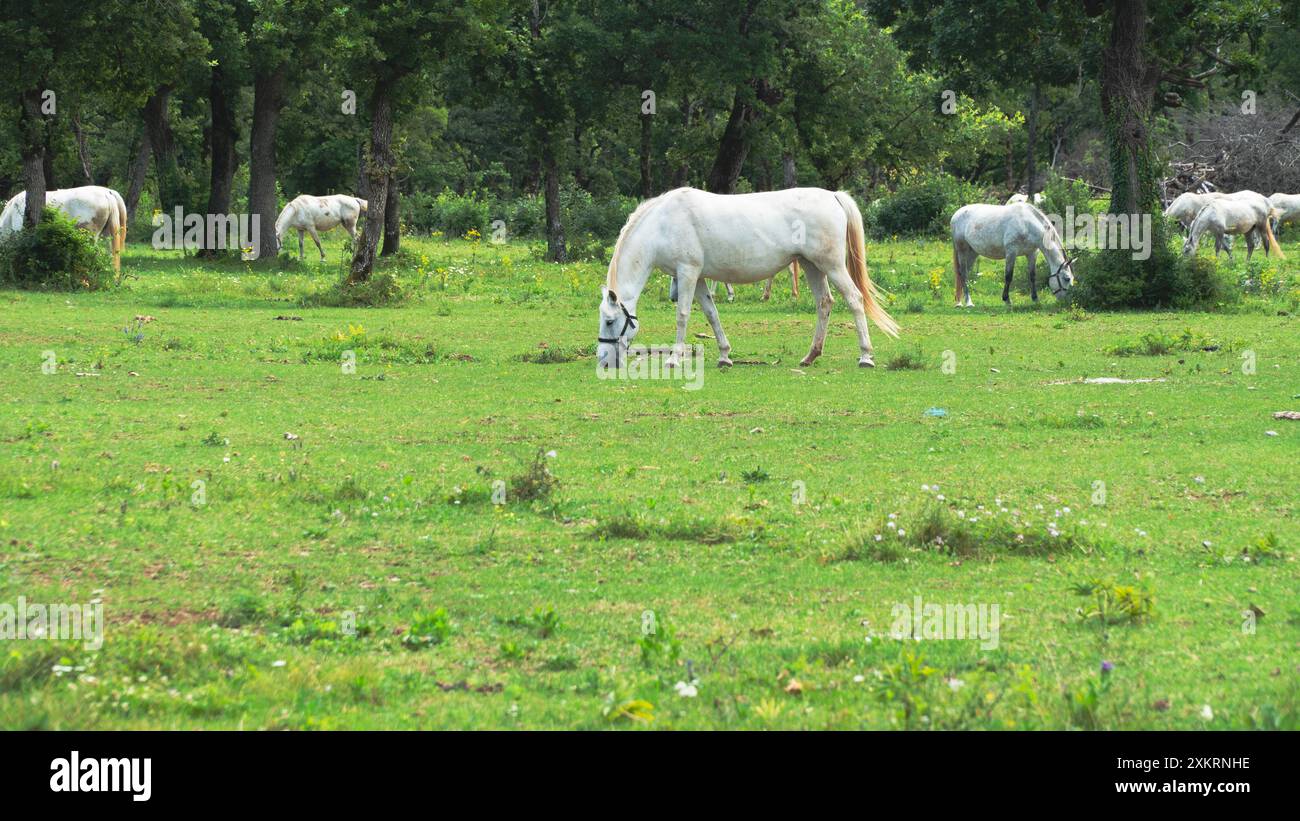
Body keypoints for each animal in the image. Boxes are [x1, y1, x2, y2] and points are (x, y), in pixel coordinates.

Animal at [596, 187, 898, 369]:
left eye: (610, 321)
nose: (603, 360)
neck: (662, 223)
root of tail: (833, 196)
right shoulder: (699, 278)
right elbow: (712, 313)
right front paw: (724, 355)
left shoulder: (687, 272)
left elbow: (682, 315)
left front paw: (674, 358)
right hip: (811, 265)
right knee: (824, 303)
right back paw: (810, 355)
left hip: (832, 265)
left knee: (854, 299)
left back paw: (866, 356)